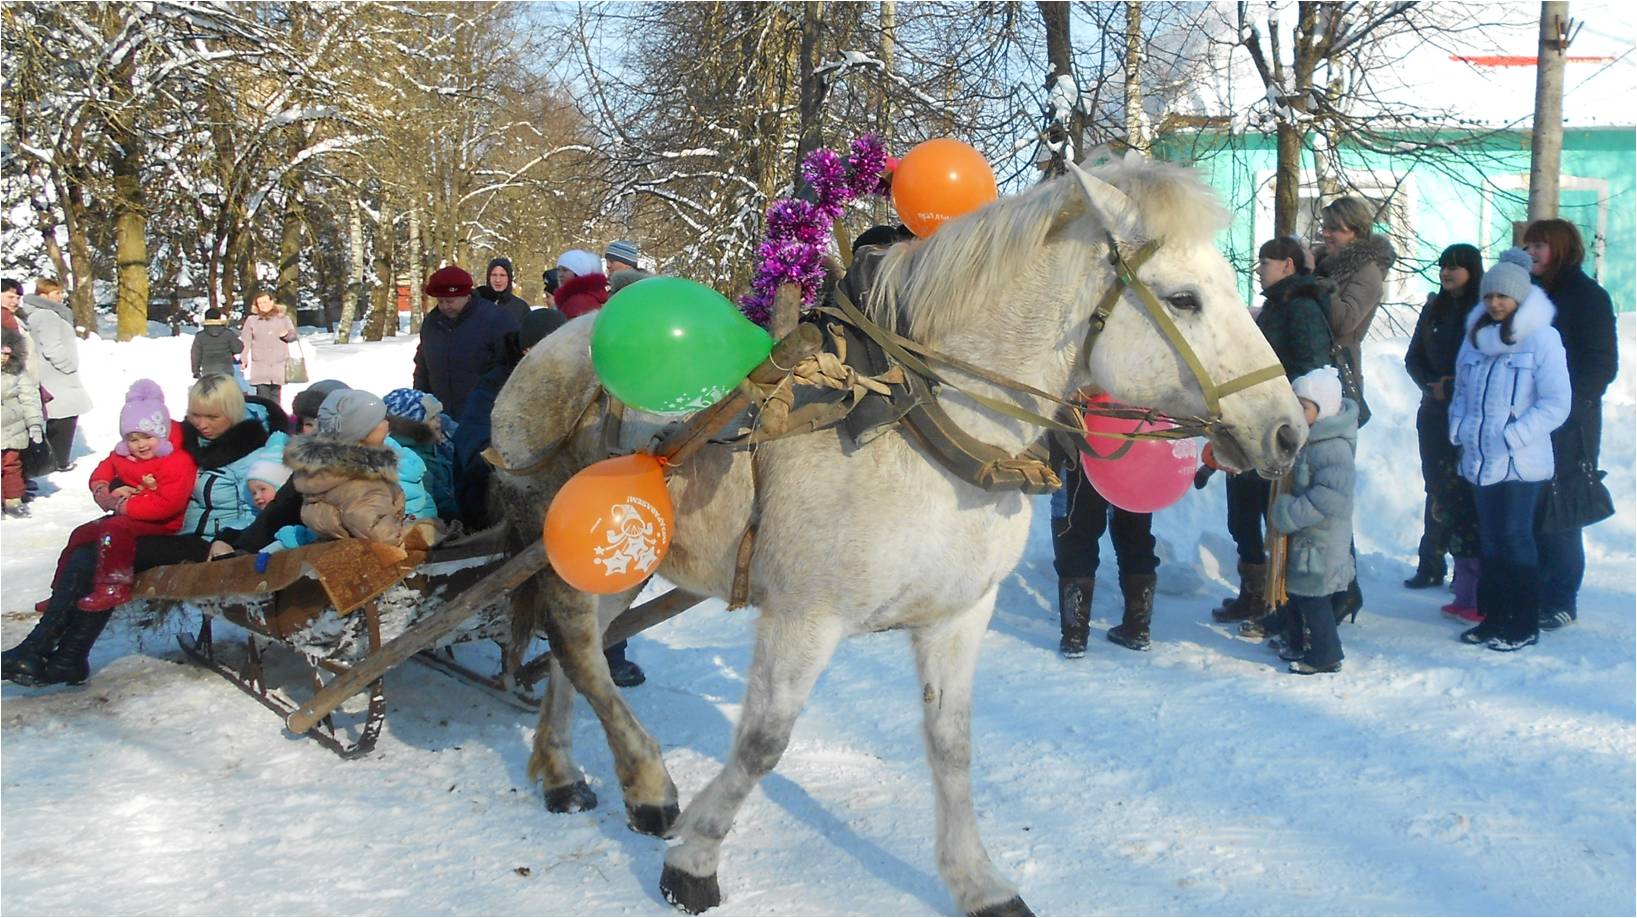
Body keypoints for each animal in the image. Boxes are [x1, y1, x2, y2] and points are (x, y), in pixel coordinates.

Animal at [484, 153, 1303, 909]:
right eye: (1183, 298)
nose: (1289, 431)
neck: (922, 423)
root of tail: (550, 344)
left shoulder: (958, 614)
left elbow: (952, 746)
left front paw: (976, 880)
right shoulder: (802, 617)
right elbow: (761, 745)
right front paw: (694, 862)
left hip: (626, 562)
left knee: (579, 648)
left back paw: (569, 772)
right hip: (565, 536)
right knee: (578, 645)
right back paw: (642, 782)